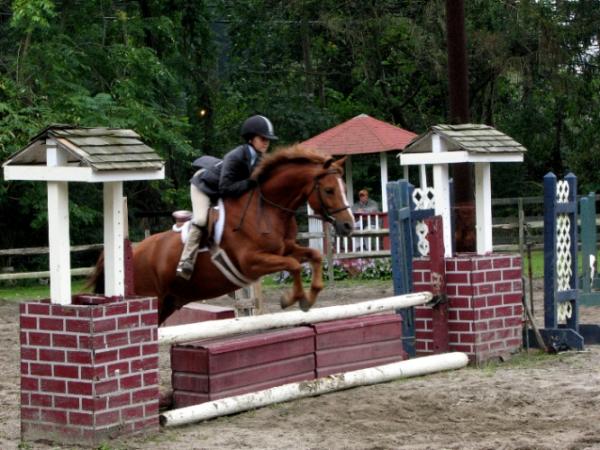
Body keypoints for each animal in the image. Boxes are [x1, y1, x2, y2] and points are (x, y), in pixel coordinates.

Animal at [88, 146, 355, 324]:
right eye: (329, 190)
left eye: (343, 187)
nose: (348, 226)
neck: (267, 209)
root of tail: (135, 250)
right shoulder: (252, 262)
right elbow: (293, 265)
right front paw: (292, 298)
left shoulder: (285, 248)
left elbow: (314, 256)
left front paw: (309, 297)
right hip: (153, 297)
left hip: (169, 301)